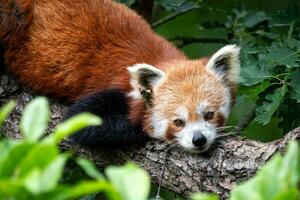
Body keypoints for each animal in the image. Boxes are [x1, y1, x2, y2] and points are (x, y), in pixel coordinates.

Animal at [0, 0, 239, 153]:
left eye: (209, 114)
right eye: (178, 122)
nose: (199, 139)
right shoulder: (115, 88)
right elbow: (78, 120)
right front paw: (141, 129)